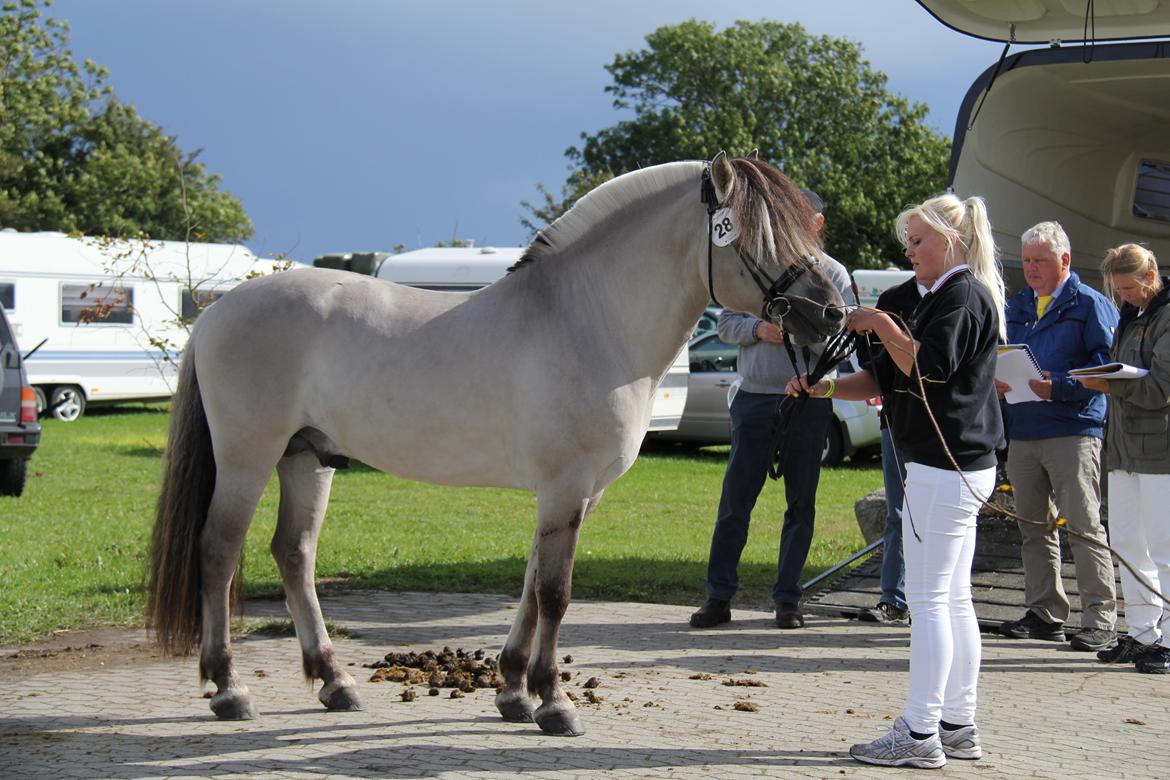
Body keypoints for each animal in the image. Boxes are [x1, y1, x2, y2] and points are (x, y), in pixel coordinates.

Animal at [146, 154, 847, 739]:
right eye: (759, 236)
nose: (834, 315)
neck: (584, 320)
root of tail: (218, 310)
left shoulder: (576, 494)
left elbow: (533, 585)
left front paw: (513, 691)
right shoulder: (564, 487)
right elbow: (555, 593)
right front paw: (554, 704)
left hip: (307, 457)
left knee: (294, 553)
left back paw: (335, 682)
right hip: (248, 456)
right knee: (218, 551)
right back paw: (229, 689)